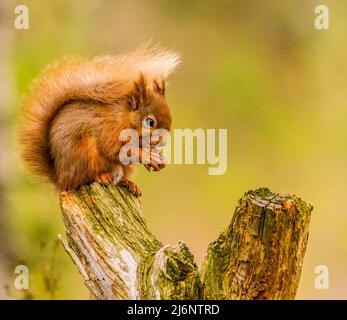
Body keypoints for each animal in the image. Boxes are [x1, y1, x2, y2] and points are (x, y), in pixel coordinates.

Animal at [19, 44, 181, 195]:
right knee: (85, 179)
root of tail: (61, 180)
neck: (124, 118)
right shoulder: (109, 129)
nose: (162, 141)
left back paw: (129, 183)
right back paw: (102, 177)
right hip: (84, 155)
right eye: (150, 122)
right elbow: (114, 150)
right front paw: (147, 156)